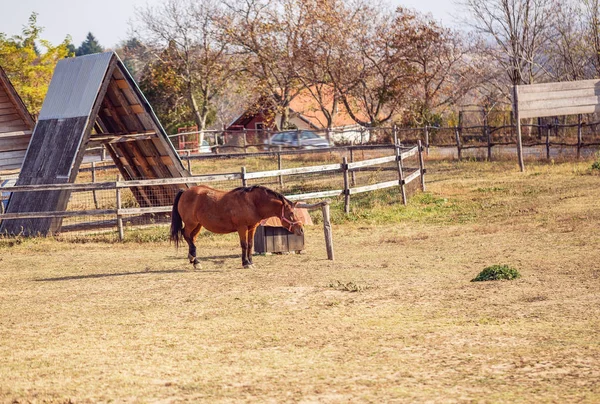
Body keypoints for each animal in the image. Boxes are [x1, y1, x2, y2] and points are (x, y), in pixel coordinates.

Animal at [170, 185, 304, 268]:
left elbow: (250, 244)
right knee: (186, 235)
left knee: (191, 238)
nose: (301, 230)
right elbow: (244, 245)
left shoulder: (252, 228)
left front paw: (251, 262)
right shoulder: (242, 228)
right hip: (191, 223)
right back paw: (195, 261)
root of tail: (185, 192)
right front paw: (246, 263)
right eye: (291, 213)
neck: (252, 203)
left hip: (198, 225)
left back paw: (193, 260)